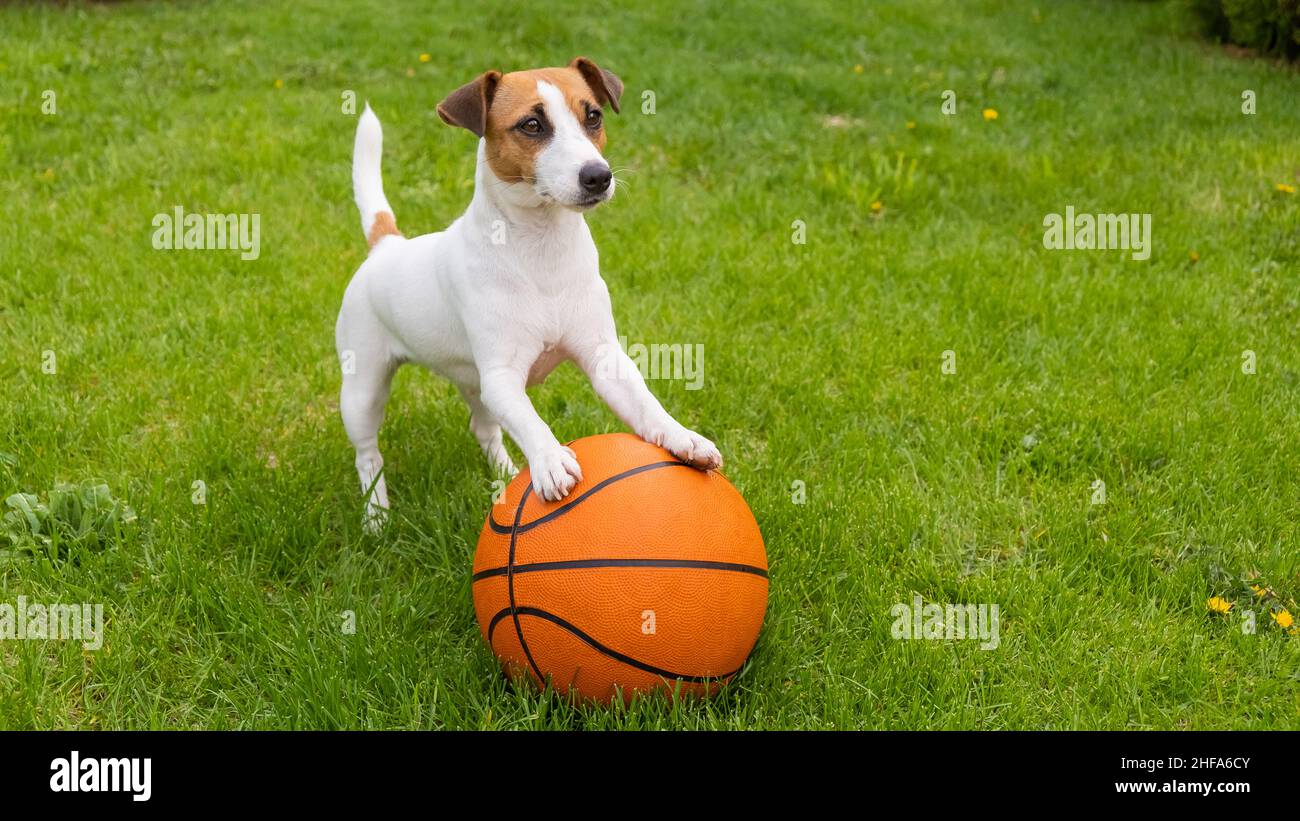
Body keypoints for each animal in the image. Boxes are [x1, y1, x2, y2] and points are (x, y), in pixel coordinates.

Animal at [335, 59, 722, 532]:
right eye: (532, 125)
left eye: (593, 116)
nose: (598, 175)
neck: (542, 250)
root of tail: (387, 244)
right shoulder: (502, 378)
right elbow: (529, 419)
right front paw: (550, 459)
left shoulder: (604, 358)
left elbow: (645, 404)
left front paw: (682, 437)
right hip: (363, 388)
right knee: (368, 455)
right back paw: (376, 516)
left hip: (472, 382)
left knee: (484, 429)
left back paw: (506, 473)